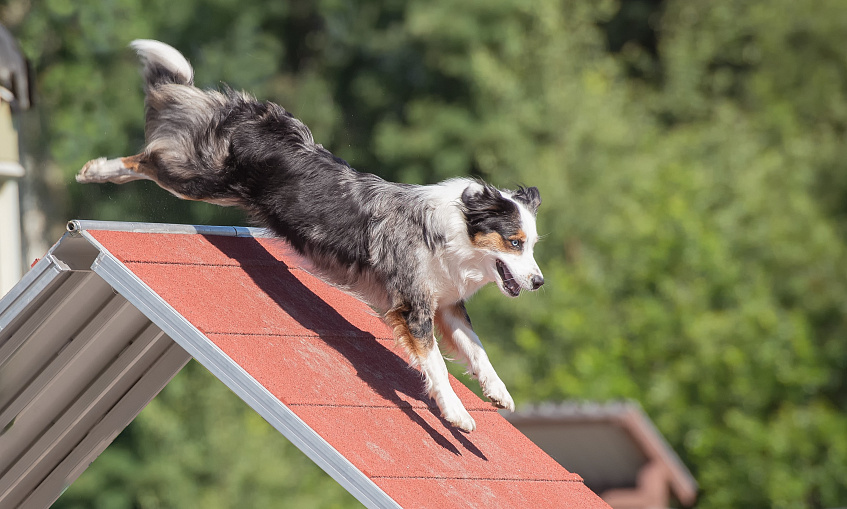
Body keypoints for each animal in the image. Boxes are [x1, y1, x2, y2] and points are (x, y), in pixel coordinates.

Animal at [78, 39, 544, 430]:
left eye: (532, 245)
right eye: (515, 242)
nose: (539, 281)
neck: (454, 233)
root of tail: (254, 113)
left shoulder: (446, 304)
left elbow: (478, 349)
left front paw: (498, 392)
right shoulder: (413, 307)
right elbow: (438, 366)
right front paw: (456, 414)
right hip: (200, 179)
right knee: (147, 158)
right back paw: (95, 169)